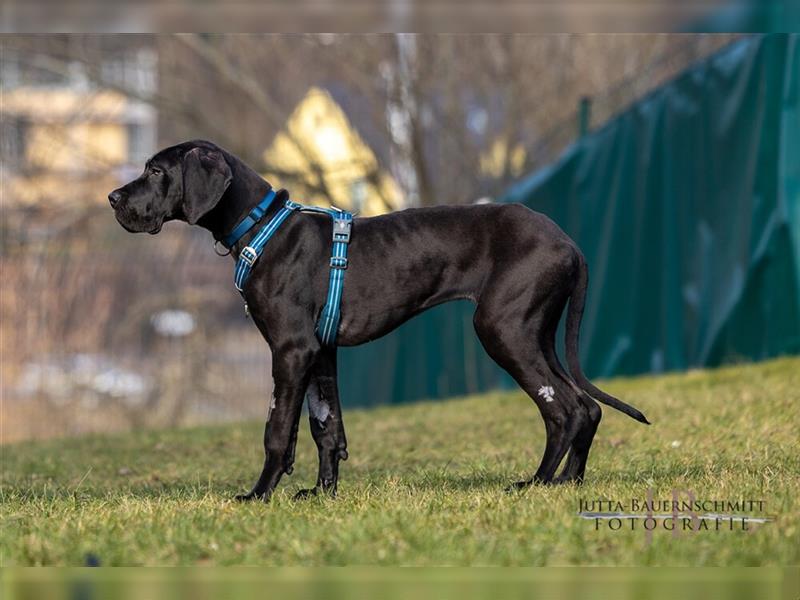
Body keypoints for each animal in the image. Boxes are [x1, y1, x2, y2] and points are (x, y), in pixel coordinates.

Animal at [109, 141, 648, 502]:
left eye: (155, 170)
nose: (113, 198)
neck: (262, 226)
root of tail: (569, 243)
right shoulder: (321, 352)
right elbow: (326, 427)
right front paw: (322, 494)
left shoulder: (290, 350)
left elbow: (277, 429)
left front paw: (259, 494)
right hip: (537, 332)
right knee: (587, 407)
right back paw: (567, 484)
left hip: (504, 329)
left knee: (564, 409)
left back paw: (535, 483)